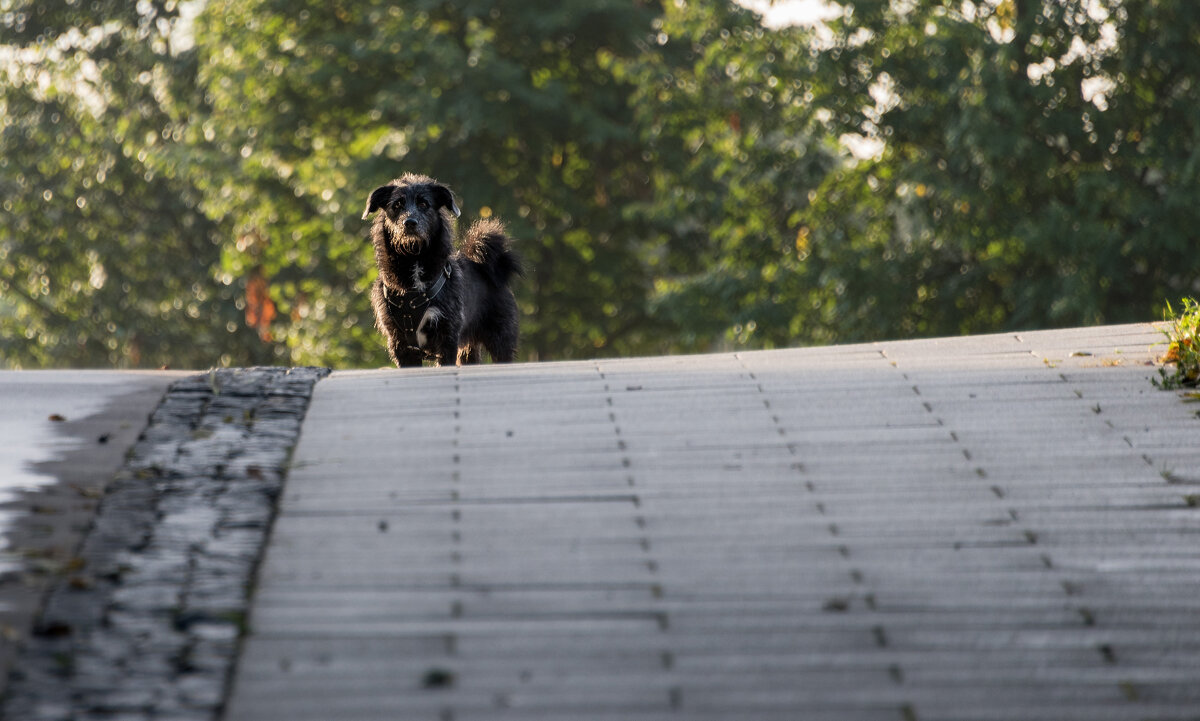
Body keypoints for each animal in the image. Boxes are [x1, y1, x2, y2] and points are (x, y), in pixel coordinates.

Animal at [360, 172, 520, 364]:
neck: (414, 259)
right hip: (468, 350)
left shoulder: (447, 338)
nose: (409, 223)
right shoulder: (400, 344)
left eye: (424, 204)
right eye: (397, 205)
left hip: (500, 340)